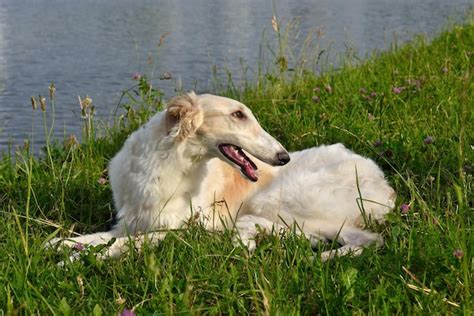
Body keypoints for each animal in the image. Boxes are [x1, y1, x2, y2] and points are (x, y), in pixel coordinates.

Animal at [50, 90, 394, 260]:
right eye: (238, 114)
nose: (283, 157)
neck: (169, 167)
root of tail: (386, 186)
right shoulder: (129, 223)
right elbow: (84, 239)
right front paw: (62, 246)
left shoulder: (185, 230)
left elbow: (129, 244)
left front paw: (77, 259)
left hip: (280, 199)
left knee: (366, 239)